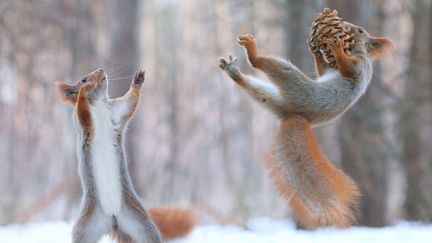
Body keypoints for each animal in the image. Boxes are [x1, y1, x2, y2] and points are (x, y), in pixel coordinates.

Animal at [56, 69, 195, 242]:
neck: (99, 104)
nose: (101, 70)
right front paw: (83, 91)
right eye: (83, 79)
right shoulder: (82, 123)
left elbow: (129, 102)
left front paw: (137, 81)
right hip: (85, 229)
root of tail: (113, 218)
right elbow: (82, 109)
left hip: (140, 223)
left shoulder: (116, 112)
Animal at [219, 20, 394, 228]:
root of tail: (294, 115)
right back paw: (234, 72)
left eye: (360, 31)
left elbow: (347, 69)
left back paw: (252, 52)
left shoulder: (359, 67)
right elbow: (322, 70)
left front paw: (336, 48)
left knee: (263, 65)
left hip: (295, 85)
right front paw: (317, 51)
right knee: (257, 90)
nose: (346, 25)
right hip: (273, 98)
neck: (357, 51)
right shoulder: (330, 70)